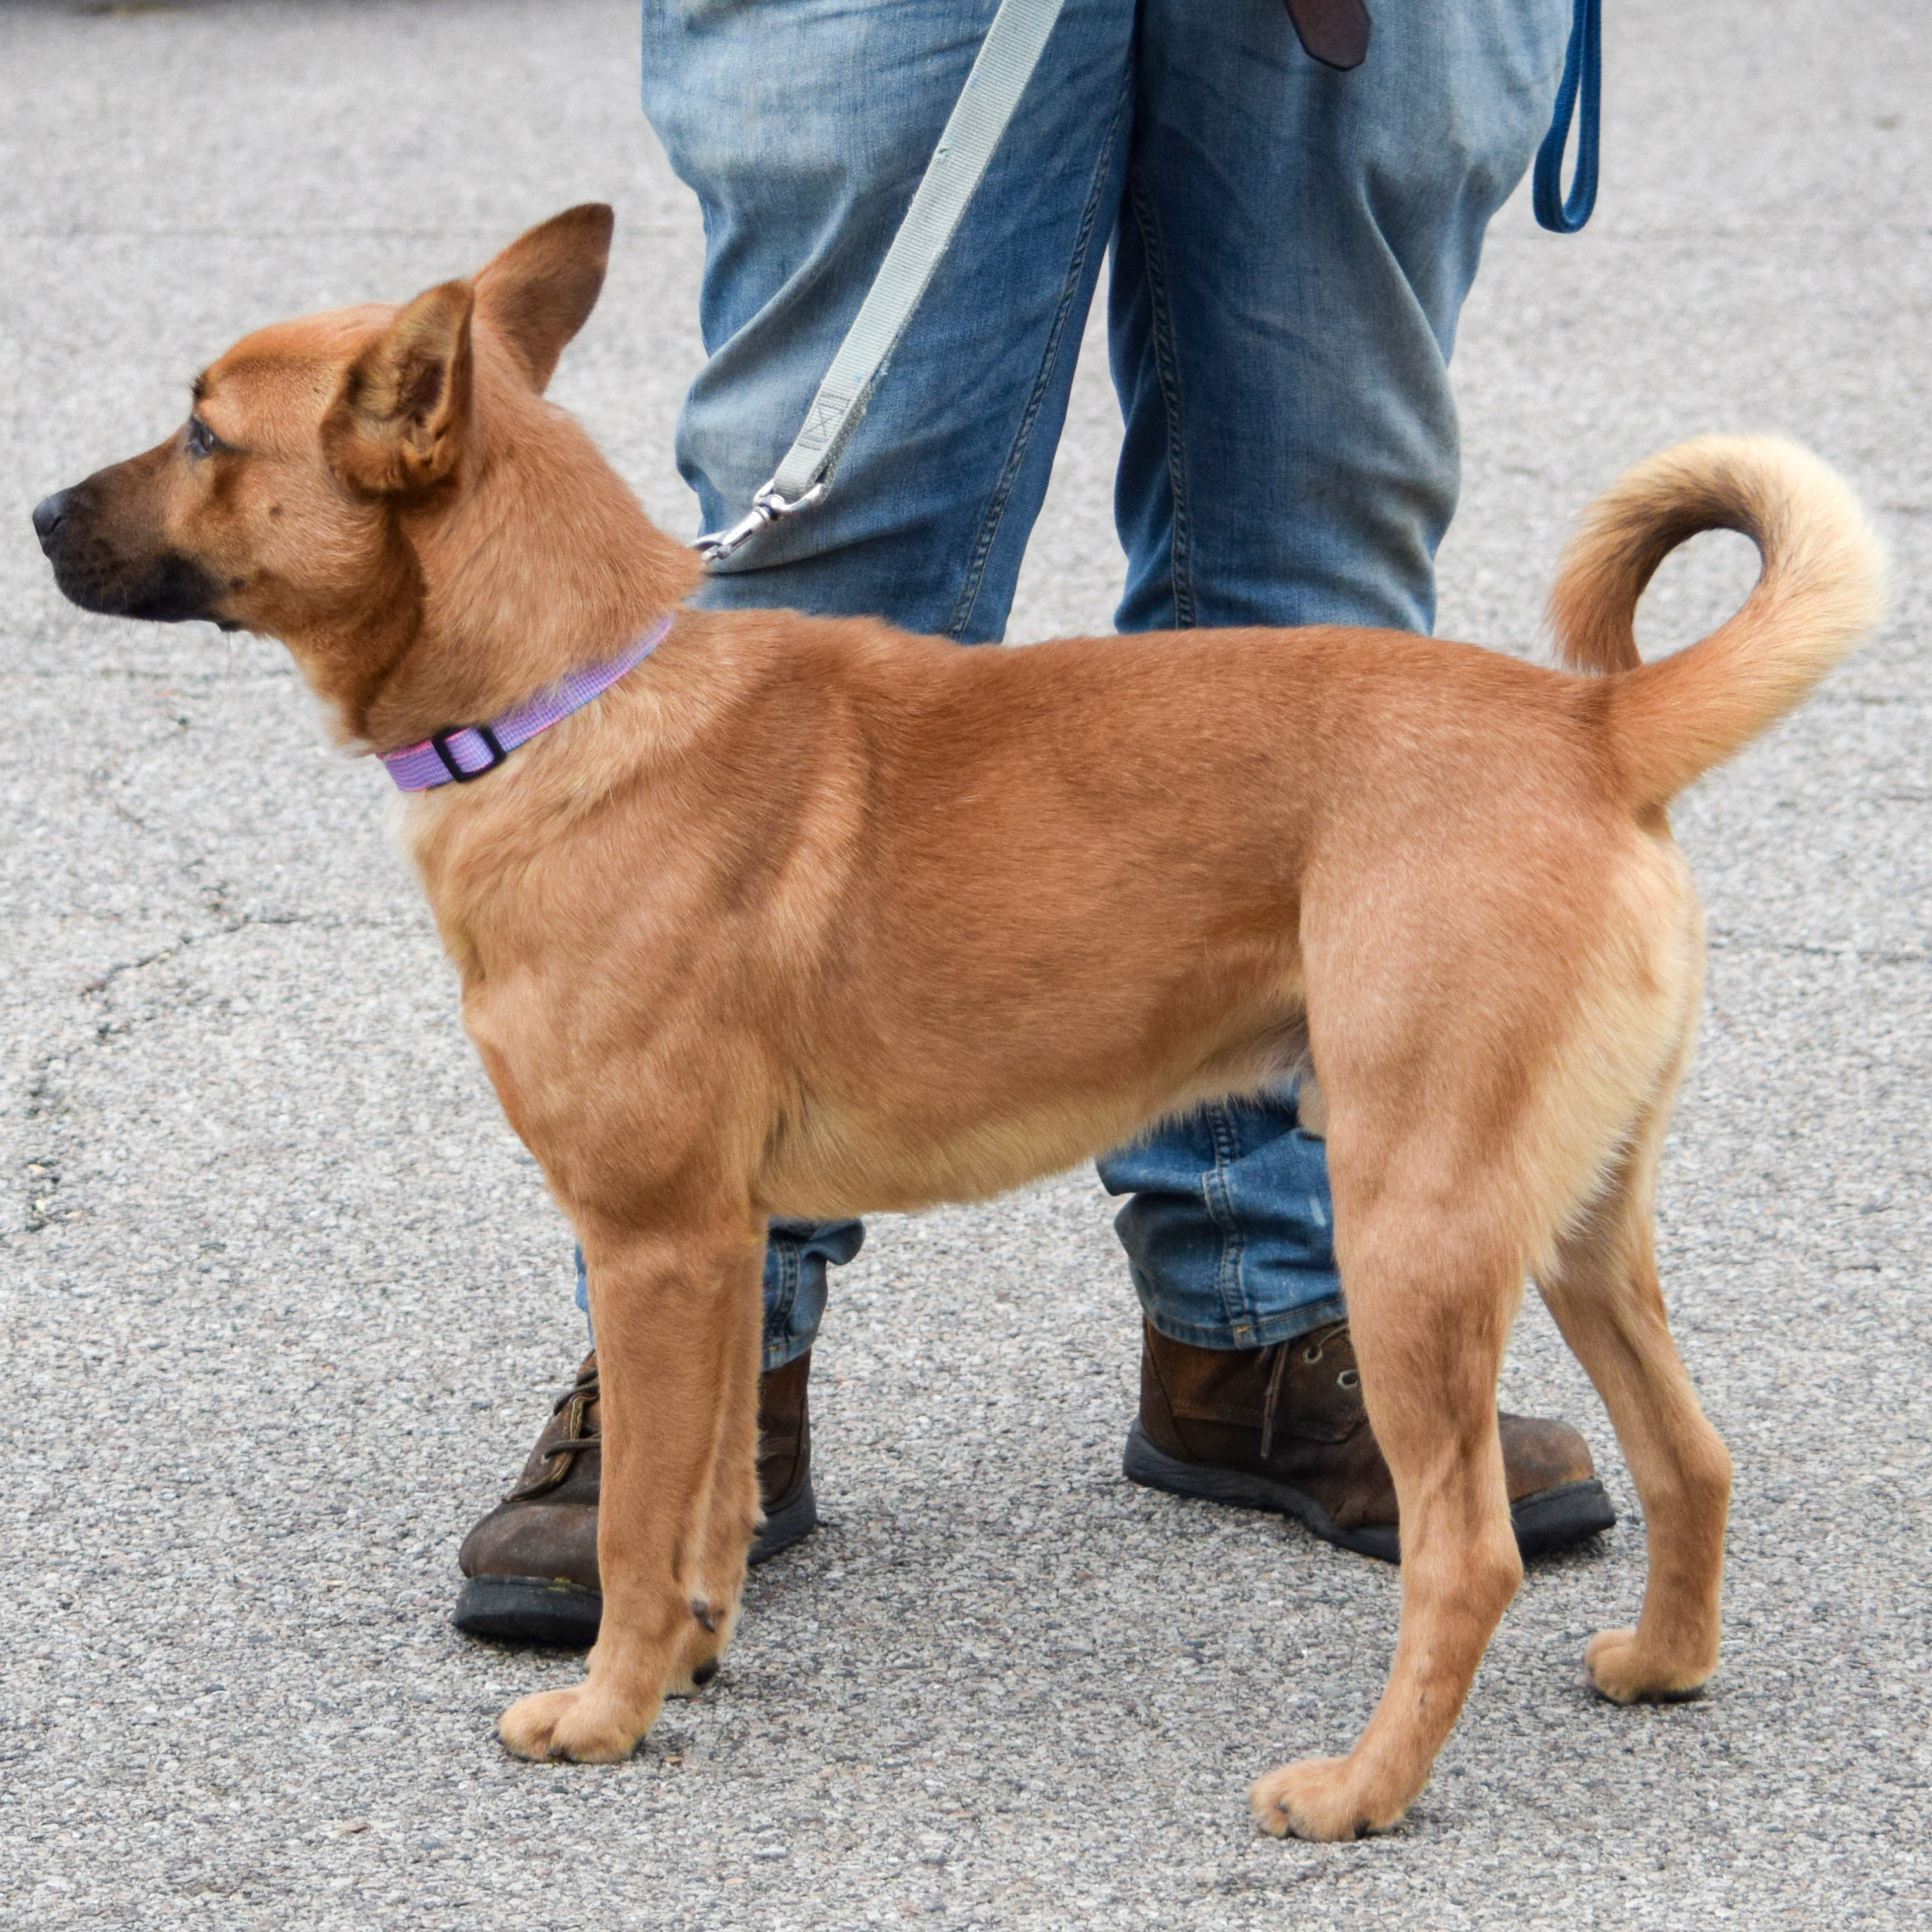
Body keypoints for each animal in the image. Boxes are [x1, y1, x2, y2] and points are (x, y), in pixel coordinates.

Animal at [37, 208, 1886, 1839]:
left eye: (202, 430)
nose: (42, 511)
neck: (573, 695)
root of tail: (1593, 726)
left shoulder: (651, 1241)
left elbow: (637, 1519)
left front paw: (606, 1711)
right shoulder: (722, 1248)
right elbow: (709, 1491)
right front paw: (689, 1657)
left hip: (1414, 1230)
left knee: (1469, 1552)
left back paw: (1360, 1790)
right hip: (1572, 1222)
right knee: (1692, 1455)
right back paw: (1662, 1661)